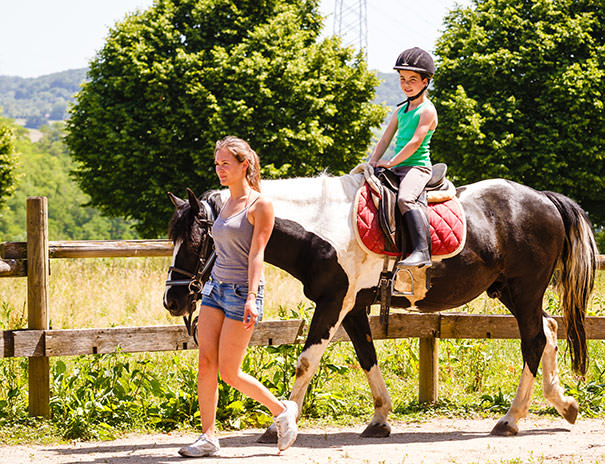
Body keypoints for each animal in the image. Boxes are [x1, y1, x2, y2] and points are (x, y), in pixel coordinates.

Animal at [163, 166, 596, 438]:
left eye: (199, 240)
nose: (172, 298)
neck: (322, 228)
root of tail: (543, 199)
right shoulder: (353, 307)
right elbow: (367, 356)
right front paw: (380, 418)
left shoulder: (334, 303)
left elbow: (306, 361)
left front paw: (278, 426)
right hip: (511, 291)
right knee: (549, 330)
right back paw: (563, 404)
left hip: (525, 290)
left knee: (533, 341)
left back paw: (511, 419)